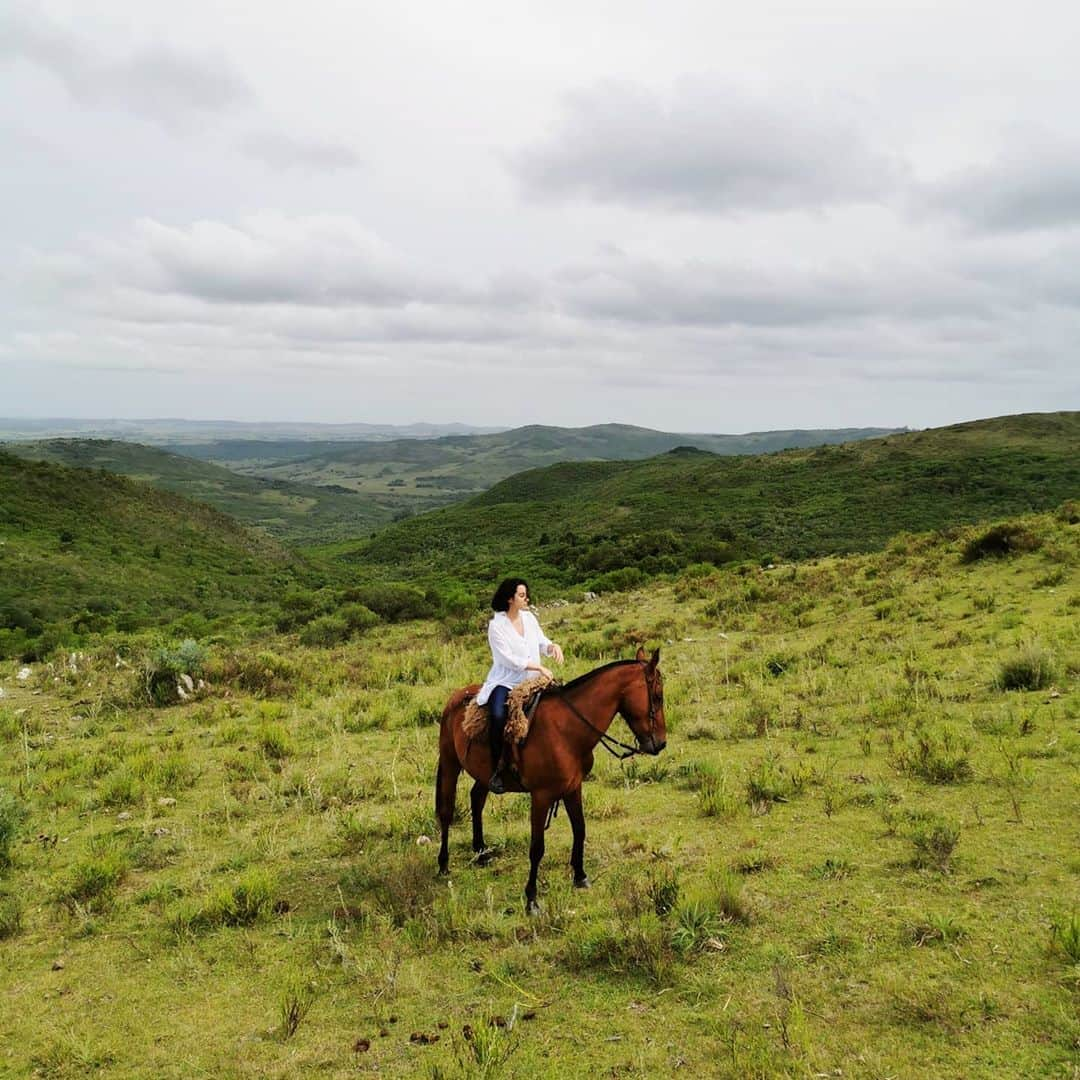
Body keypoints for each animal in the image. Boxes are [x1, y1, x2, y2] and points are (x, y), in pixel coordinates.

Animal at [434, 648, 660, 911]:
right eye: (657, 696)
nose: (660, 743)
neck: (567, 731)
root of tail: (456, 697)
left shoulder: (573, 788)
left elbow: (580, 829)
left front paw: (580, 876)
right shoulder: (541, 796)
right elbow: (537, 847)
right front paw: (531, 899)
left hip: (483, 774)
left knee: (476, 799)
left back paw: (481, 853)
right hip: (450, 763)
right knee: (447, 812)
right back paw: (443, 864)